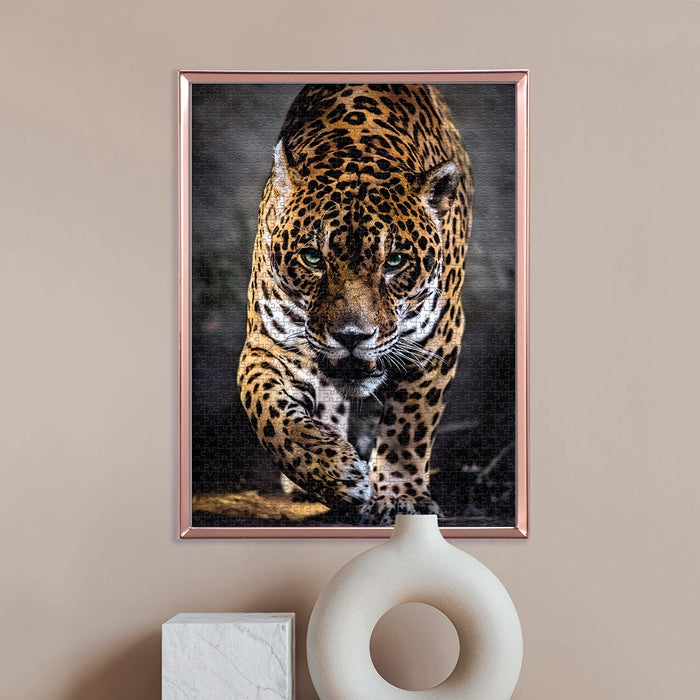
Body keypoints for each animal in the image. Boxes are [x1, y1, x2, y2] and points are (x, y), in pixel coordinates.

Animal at [237, 84, 474, 525]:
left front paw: (399, 496)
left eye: (395, 261)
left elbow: (408, 427)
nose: (351, 336)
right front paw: (334, 473)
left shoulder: (436, 341)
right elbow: (269, 415)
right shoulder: (269, 344)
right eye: (313, 258)